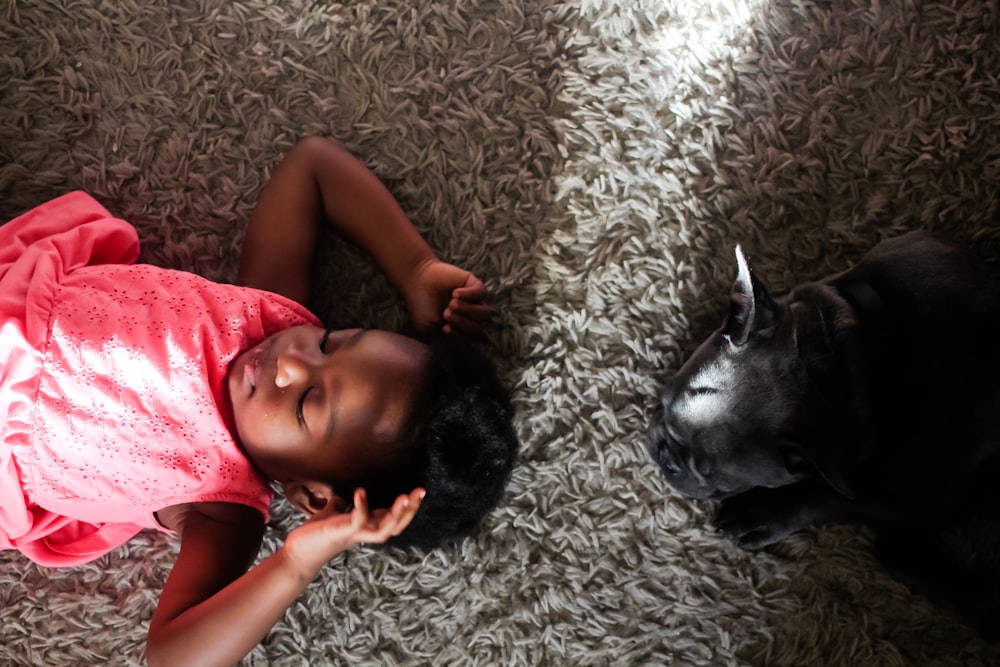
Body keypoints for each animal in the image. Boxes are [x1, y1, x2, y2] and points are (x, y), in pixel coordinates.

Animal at [644, 232, 1000, 636]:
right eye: (669, 410)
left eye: (719, 482)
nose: (668, 459)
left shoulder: (921, 502)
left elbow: (830, 496)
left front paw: (758, 513)